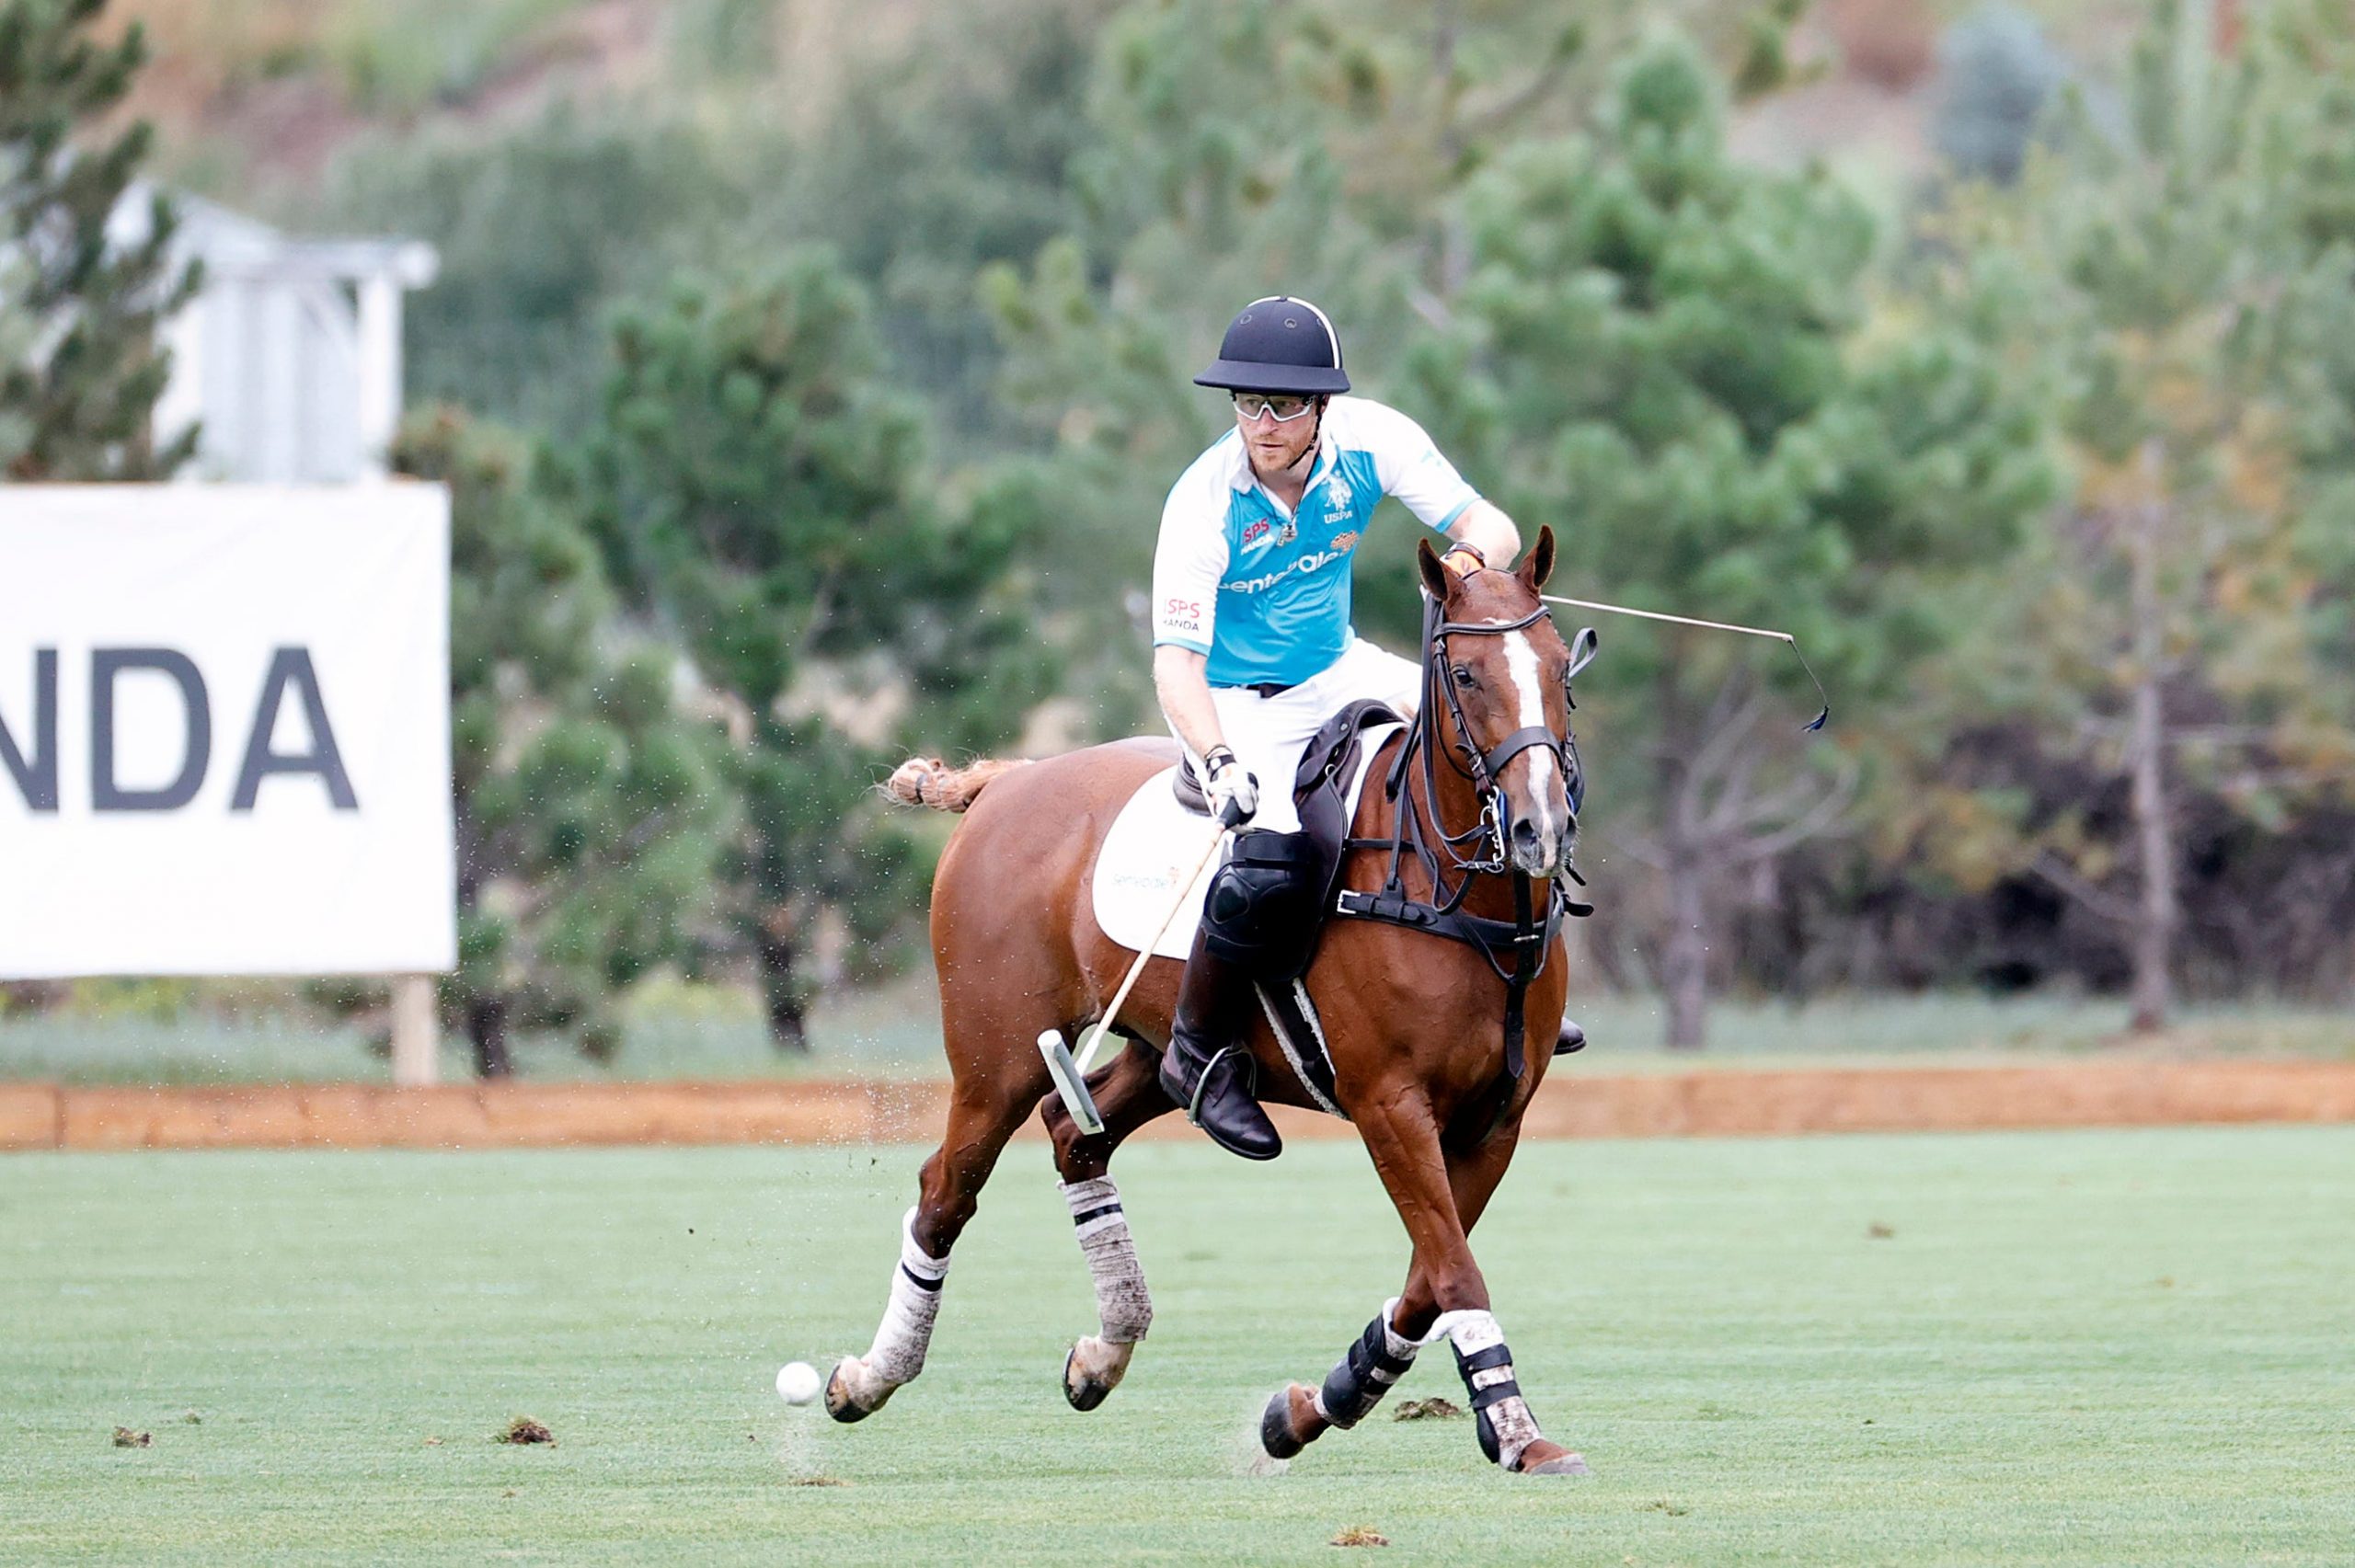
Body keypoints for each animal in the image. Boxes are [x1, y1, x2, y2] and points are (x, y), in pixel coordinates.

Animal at [833, 532, 1601, 1469]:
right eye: (1464, 675)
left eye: (1560, 666)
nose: (1540, 828)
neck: (1445, 886)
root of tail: (1007, 784)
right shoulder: (1390, 1102)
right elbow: (1454, 1267)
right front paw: (1518, 1430)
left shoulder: (1495, 1118)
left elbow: (1427, 1280)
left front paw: (1311, 1405)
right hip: (996, 1056)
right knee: (946, 1188)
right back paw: (866, 1377)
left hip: (1152, 1052)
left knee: (1077, 1131)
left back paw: (1104, 1351)